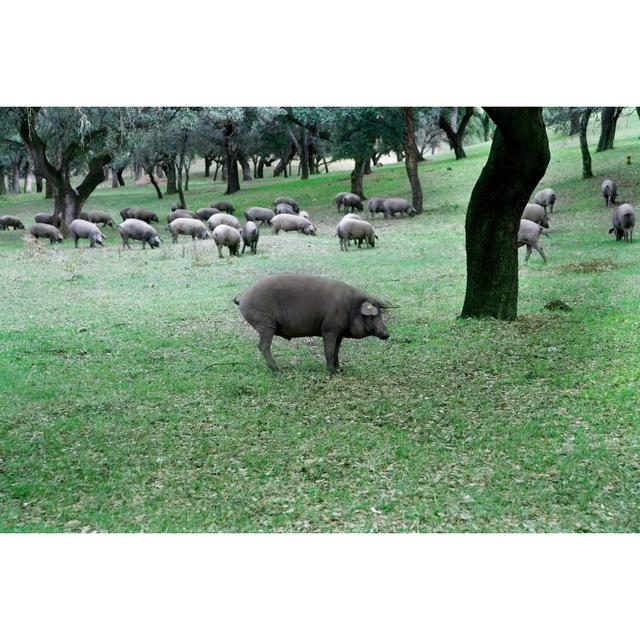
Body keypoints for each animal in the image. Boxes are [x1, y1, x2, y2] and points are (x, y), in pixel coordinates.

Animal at [232, 272, 388, 372]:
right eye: (370, 316)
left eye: (380, 313)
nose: (387, 334)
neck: (350, 307)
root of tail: (243, 297)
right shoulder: (329, 329)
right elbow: (329, 351)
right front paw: (331, 372)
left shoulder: (339, 333)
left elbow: (337, 350)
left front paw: (340, 368)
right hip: (265, 324)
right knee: (263, 346)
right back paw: (278, 370)